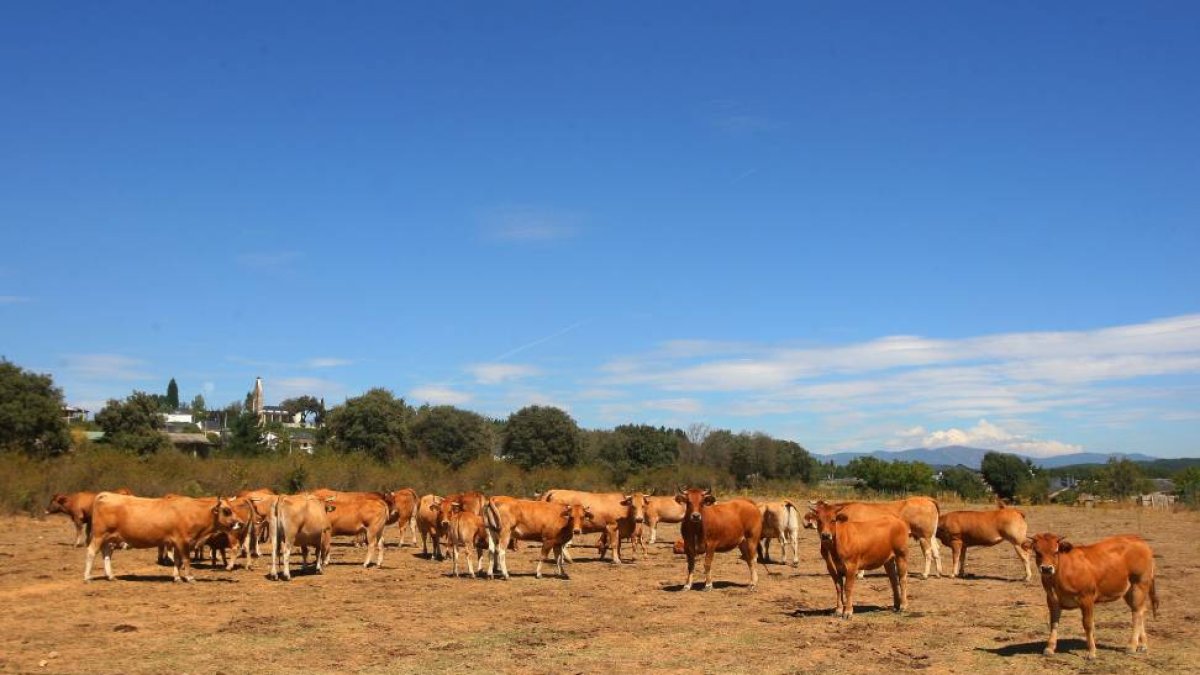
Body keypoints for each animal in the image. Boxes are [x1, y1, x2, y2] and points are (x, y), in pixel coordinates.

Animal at [84, 493, 246, 582]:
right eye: (227, 510)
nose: (241, 523)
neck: (193, 512)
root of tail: (106, 495)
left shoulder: (176, 542)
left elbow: (177, 561)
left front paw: (177, 578)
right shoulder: (183, 541)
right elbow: (185, 560)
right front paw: (190, 577)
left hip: (109, 539)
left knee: (106, 554)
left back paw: (110, 576)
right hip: (99, 535)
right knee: (91, 552)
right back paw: (87, 577)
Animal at [806, 497, 941, 579]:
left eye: (831, 519)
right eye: (818, 516)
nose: (824, 535)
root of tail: (925, 499)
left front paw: (859, 574)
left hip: (924, 536)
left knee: (928, 553)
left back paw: (925, 574)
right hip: (931, 536)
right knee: (936, 551)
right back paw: (938, 573)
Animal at [1023, 533, 1158, 659]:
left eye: (1055, 551)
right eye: (1037, 552)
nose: (1046, 569)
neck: (1060, 576)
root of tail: (1138, 540)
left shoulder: (1086, 598)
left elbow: (1088, 624)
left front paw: (1092, 652)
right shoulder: (1052, 600)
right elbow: (1054, 623)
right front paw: (1049, 648)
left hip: (1139, 585)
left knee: (1136, 614)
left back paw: (1131, 646)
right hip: (1129, 590)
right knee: (1140, 611)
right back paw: (1143, 645)